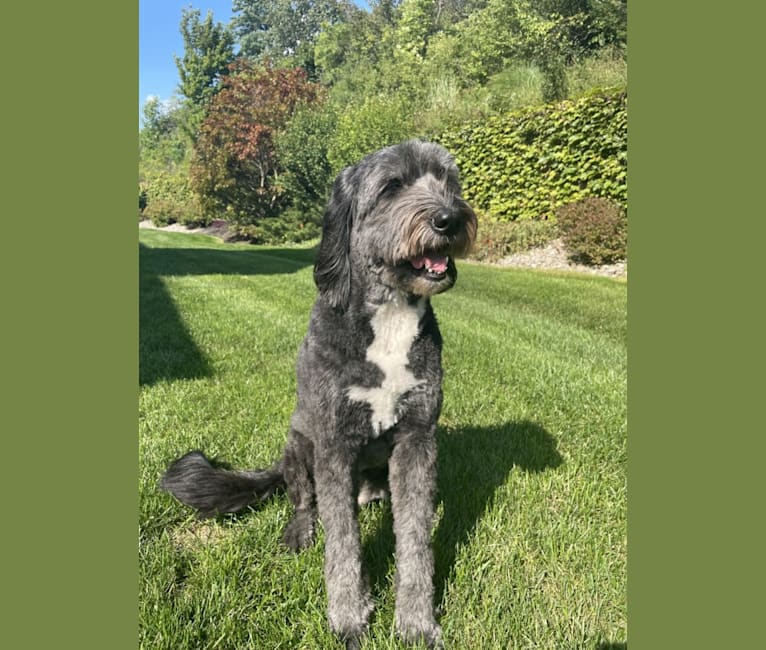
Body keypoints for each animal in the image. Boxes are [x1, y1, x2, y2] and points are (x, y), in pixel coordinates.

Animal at [163, 139, 480, 644]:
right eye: (392, 187)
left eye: (449, 181)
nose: (450, 219)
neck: (389, 316)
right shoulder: (333, 442)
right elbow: (343, 543)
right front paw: (349, 617)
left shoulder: (418, 437)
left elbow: (415, 539)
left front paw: (416, 622)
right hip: (297, 446)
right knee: (304, 502)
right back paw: (300, 531)